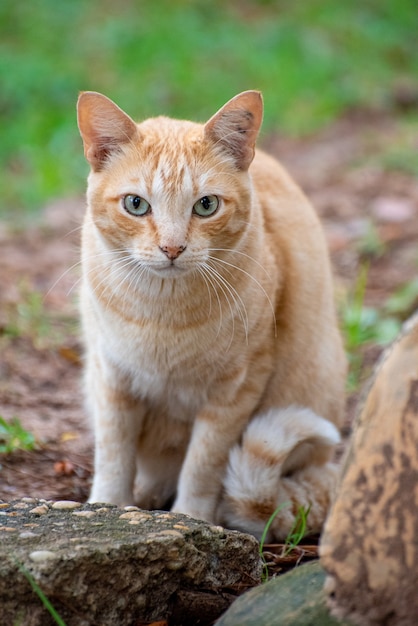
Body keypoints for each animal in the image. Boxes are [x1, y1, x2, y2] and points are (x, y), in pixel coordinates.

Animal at [77, 90, 346, 540]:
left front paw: (192, 519)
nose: (172, 248)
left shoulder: (235, 390)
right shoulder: (111, 378)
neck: (163, 314)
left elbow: (203, 465)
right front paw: (107, 508)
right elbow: (113, 456)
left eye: (205, 206)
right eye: (136, 204)